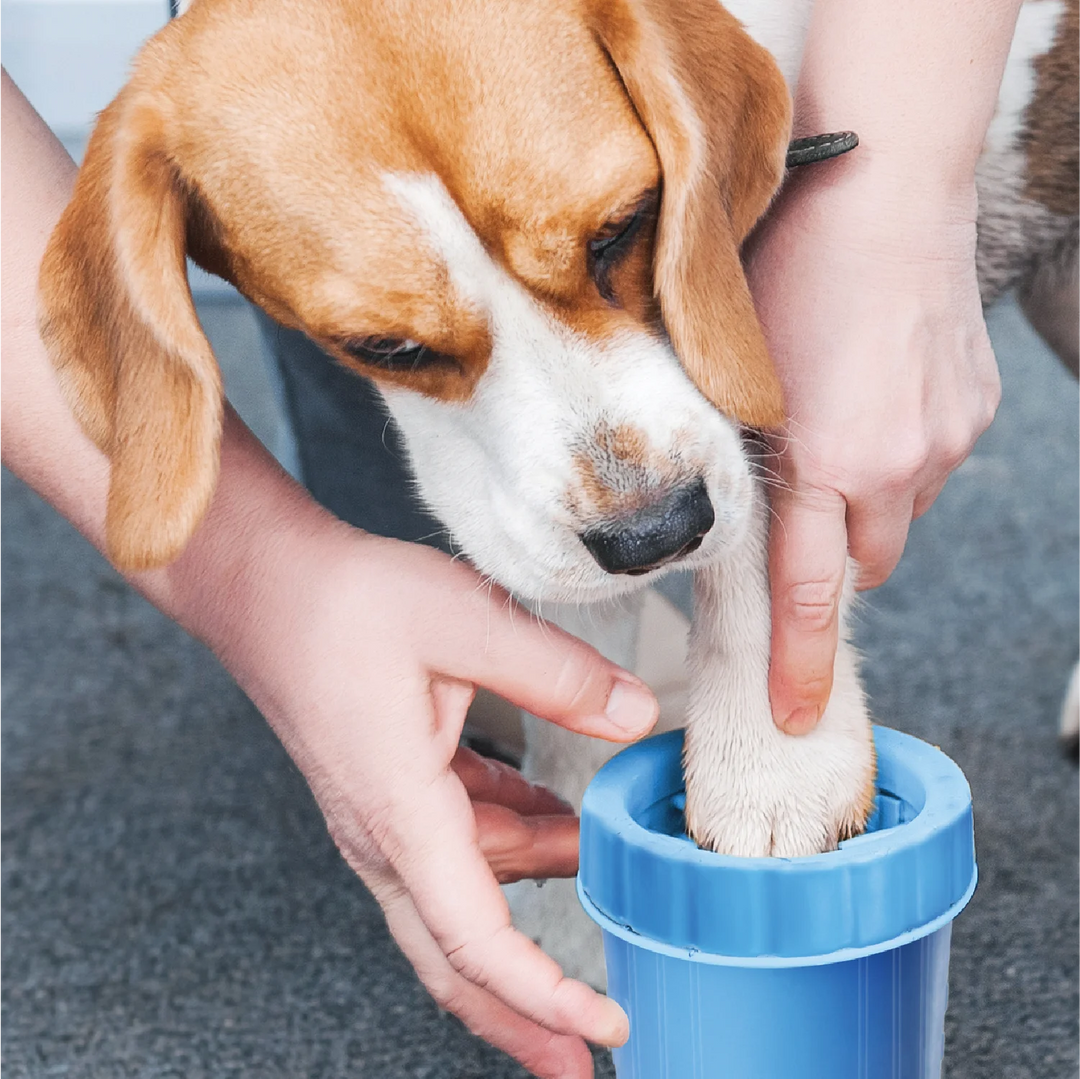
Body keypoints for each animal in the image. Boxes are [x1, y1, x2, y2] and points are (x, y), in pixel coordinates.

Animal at [38, 0, 1080, 989]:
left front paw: (770, 757)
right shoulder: (529, 509)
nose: (658, 533)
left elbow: (765, 513)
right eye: (388, 349)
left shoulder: (743, 319)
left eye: (621, 228)